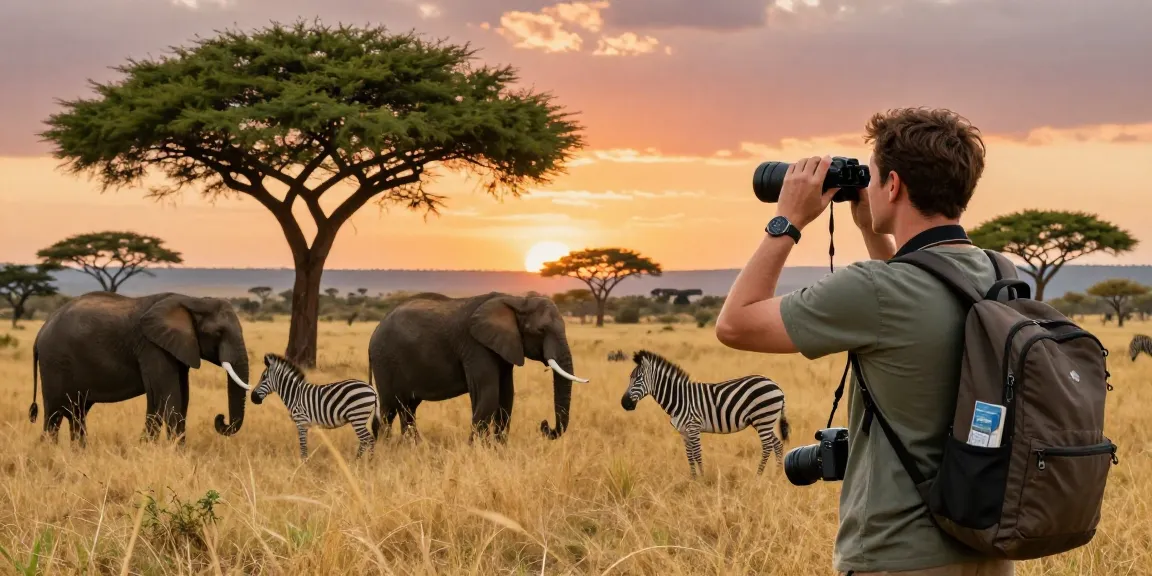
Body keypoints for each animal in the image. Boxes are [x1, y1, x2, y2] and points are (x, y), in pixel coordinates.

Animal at [30, 291, 254, 446]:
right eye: (218, 333)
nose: (221, 418)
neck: (193, 301)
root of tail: (40, 332)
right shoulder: (152, 347)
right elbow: (167, 397)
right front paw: (171, 453)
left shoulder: (176, 348)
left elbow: (179, 398)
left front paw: (153, 448)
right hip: (54, 363)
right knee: (54, 414)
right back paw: (50, 452)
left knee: (76, 412)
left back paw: (78, 452)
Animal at [367, 291, 588, 443]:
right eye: (541, 330)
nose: (544, 425)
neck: (517, 301)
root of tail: (376, 329)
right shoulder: (475, 346)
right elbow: (488, 395)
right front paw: (475, 451)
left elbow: (506, 396)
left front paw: (498, 451)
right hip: (384, 361)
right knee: (389, 408)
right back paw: (387, 448)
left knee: (407, 408)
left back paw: (410, 446)